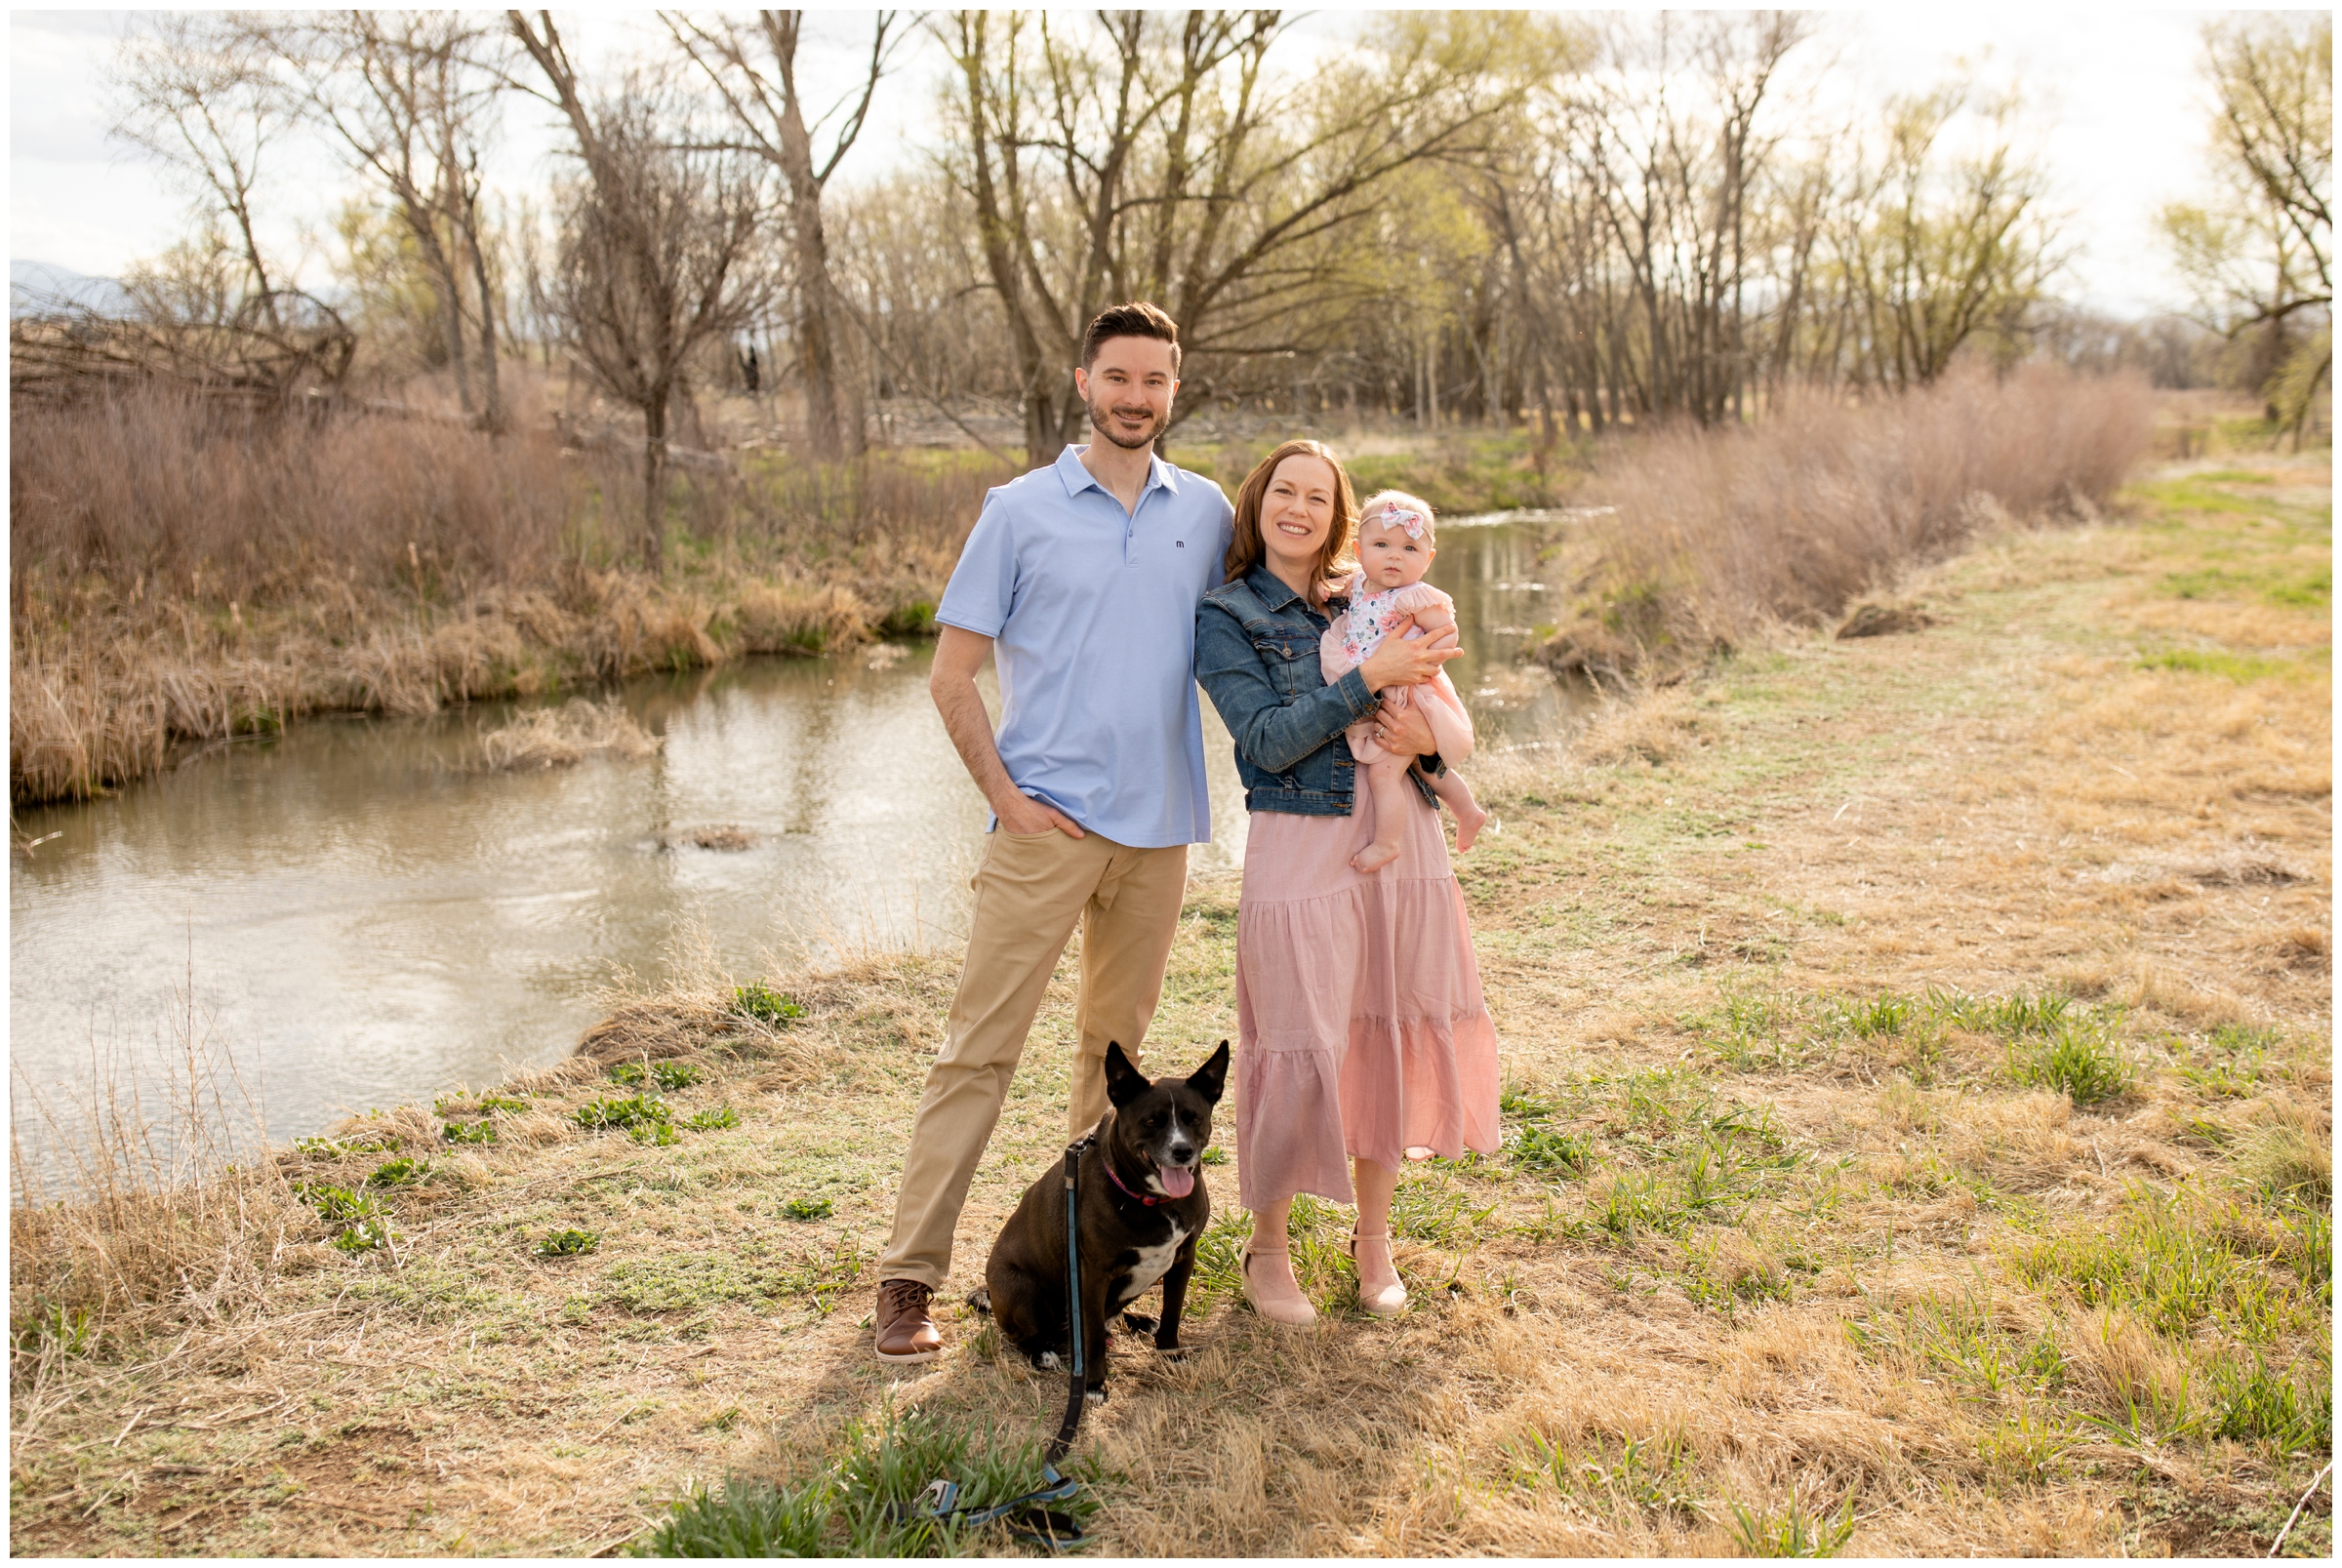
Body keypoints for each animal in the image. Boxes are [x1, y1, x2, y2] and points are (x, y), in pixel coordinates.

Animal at [974, 1048, 1236, 1404]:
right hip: (1020, 1289)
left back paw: (1139, 1322)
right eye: (1151, 1120)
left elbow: (1172, 1311)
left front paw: (1168, 1351)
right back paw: (1042, 1353)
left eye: (1193, 1117)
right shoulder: (1093, 1274)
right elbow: (1094, 1336)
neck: (1152, 1200)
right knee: (1024, 1335)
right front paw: (1095, 1384)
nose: (1182, 1151)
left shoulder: (1185, 1256)